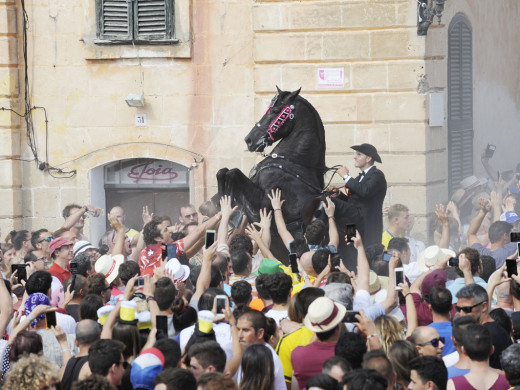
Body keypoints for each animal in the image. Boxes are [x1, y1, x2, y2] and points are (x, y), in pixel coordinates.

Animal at [217, 88, 328, 258]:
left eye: (275, 111)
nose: (249, 140)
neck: (294, 162)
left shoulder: (262, 203)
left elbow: (233, 173)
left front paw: (228, 207)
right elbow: (222, 172)